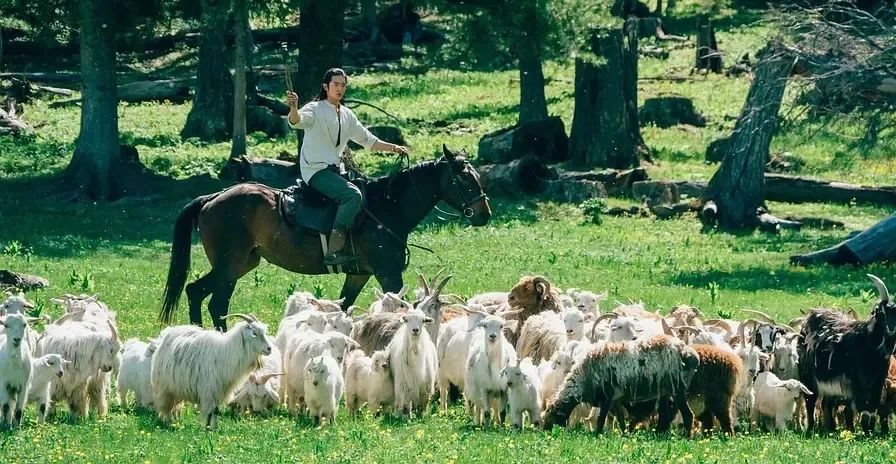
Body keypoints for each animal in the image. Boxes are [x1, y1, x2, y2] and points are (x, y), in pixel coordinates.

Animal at [164, 145, 494, 330]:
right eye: (464, 178)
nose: (484, 214)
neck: (385, 207)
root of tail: (212, 197)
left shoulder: (359, 275)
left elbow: (344, 308)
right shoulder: (388, 275)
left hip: (241, 264)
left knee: (194, 292)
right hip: (229, 267)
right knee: (216, 305)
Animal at [540, 334, 700, 436]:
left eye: (551, 418)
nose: (545, 434)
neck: (584, 380)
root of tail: (691, 354)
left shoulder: (606, 397)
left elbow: (601, 419)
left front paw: (597, 435)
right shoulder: (616, 400)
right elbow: (620, 419)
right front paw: (624, 434)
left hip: (678, 388)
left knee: (687, 415)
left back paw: (685, 437)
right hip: (664, 391)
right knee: (665, 416)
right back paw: (659, 435)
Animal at [800, 274, 896, 434]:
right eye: (881, 312)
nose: (891, 328)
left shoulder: (878, 381)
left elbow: (872, 408)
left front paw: (870, 432)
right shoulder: (858, 382)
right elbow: (863, 408)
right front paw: (865, 432)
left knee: (826, 403)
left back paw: (831, 429)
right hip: (808, 376)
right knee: (810, 400)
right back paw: (810, 429)